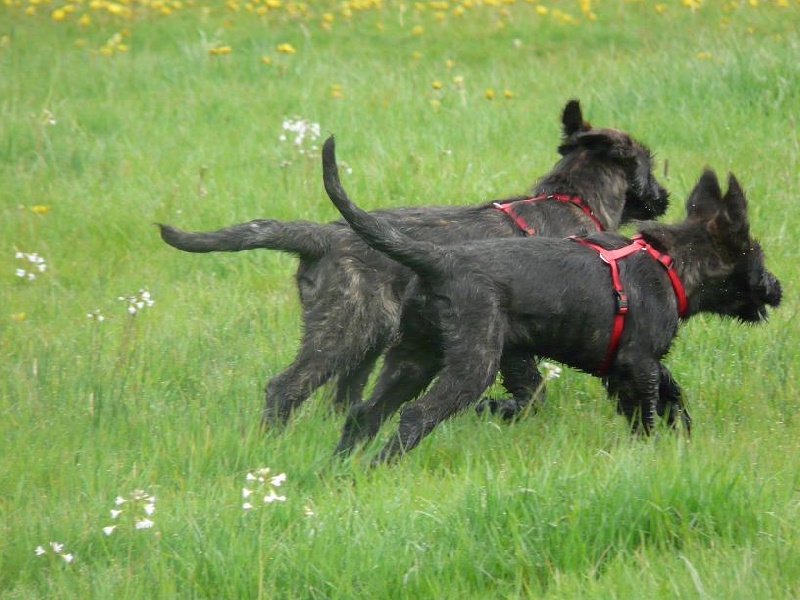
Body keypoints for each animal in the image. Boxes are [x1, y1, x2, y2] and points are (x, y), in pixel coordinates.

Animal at [158, 99, 668, 426]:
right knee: (285, 388)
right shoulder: (513, 341)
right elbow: (531, 390)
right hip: (347, 328)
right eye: (648, 164)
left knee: (343, 398)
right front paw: (503, 410)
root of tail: (323, 236)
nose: (664, 198)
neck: (570, 197)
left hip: (368, 334)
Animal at [320, 136, 780, 464]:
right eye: (756, 256)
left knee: (364, 412)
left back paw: (339, 472)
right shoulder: (638, 363)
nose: (777, 287)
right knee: (415, 415)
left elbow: (671, 391)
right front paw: (651, 452)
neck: (669, 264)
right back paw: (379, 466)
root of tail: (440, 261)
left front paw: (681, 431)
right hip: (472, 362)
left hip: (414, 354)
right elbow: (646, 411)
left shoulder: (629, 365)